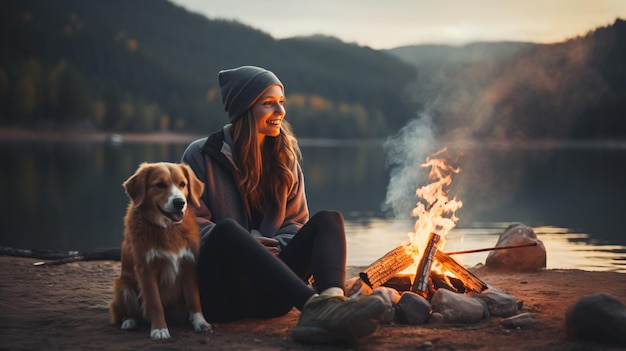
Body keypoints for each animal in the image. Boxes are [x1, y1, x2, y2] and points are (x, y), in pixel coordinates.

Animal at [108, 162, 211, 340]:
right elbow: (155, 304)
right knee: (126, 312)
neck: (168, 228)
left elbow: (194, 299)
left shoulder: (188, 264)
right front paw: (159, 329)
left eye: (183, 184)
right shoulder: (146, 270)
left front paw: (200, 323)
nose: (179, 202)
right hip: (124, 287)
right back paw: (129, 322)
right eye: (160, 185)